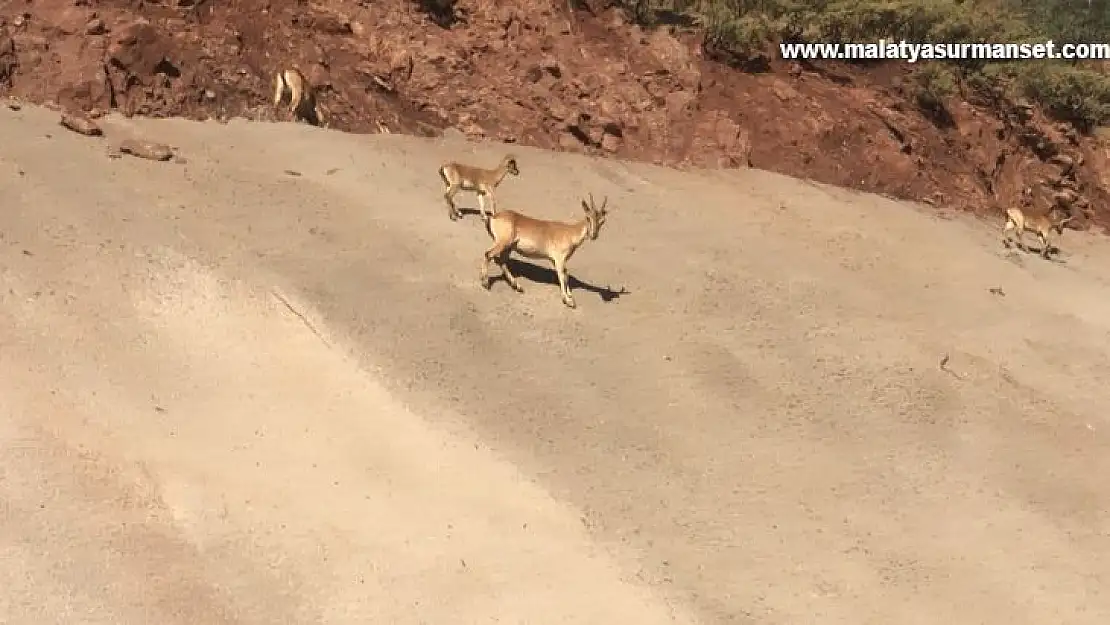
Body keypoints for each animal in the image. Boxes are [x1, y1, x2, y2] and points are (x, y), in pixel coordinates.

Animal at [481, 192, 612, 306]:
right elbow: (562, 275)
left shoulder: (555, 260)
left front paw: (570, 296)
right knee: (488, 254)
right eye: (588, 217)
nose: (593, 235)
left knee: (502, 261)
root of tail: (494, 217)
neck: (570, 233)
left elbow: (566, 274)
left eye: (602, 221)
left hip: (509, 247)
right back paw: (485, 282)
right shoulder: (559, 259)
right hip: (503, 243)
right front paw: (568, 301)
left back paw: (517, 286)